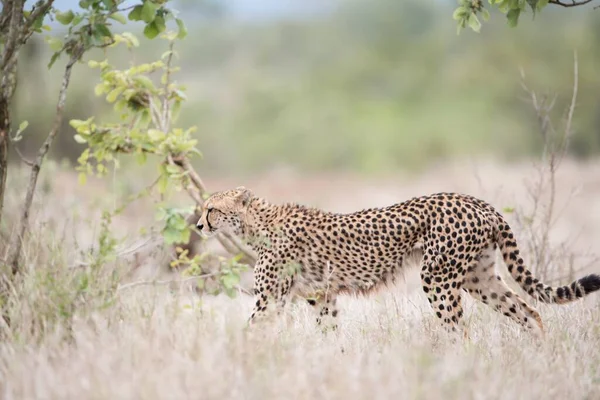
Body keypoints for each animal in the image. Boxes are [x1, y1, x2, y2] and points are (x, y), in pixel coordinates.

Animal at [197, 188, 600, 334]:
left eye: (211, 208)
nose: (199, 224)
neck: (257, 222)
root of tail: (476, 201)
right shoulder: (322, 297)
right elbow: (330, 334)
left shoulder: (270, 300)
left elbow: (250, 331)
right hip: (478, 277)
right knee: (529, 312)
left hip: (437, 278)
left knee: (457, 330)